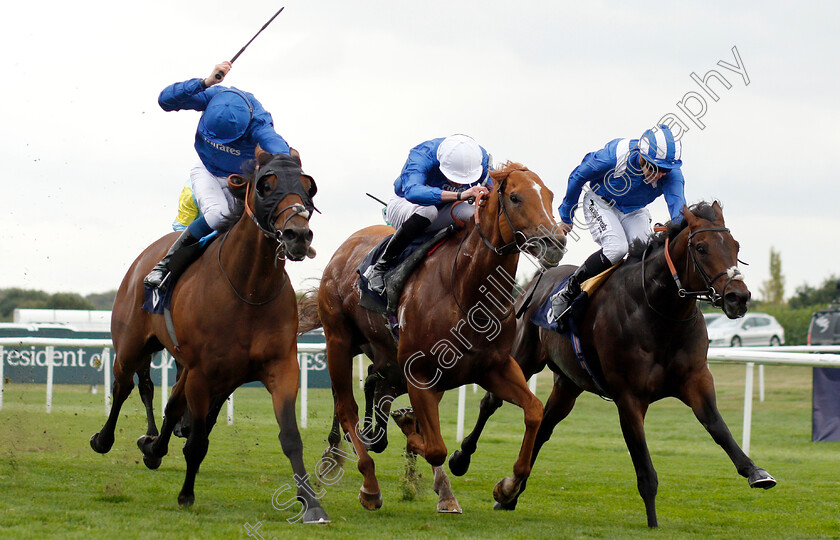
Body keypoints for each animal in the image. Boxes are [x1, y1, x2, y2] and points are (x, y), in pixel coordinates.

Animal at [90, 150, 330, 520]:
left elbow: (290, 436)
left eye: (308, 187)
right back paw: (106, 439)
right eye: (266, 185)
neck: (249, 289)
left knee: (172, 404)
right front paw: (186, 494)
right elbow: (197, 442)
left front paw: (311, 504)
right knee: (124, 386)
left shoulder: (279, 367)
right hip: (132, 345)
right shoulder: (203, 373)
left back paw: (153, 447)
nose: (297, 235)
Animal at [298, 163, 568, 516]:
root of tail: (344, 249)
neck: (466, 291)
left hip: (385, 355)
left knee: (374, 385)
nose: (556, 242)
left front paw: (507, 487)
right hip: (339, 341)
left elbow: (534, 411)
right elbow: (434, 446)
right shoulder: (420, 372)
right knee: (346, 408)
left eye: (549, 195)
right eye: (515, 197)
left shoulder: (494, 366)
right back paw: (369, 483)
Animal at [446, 200, 776, 524]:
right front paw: (653, 523)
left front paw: (756, 472)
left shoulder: (696, 379)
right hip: (520, 358)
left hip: (568, 384)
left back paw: (510, 494)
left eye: (735, 246)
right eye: (702, 248)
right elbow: (645, 470)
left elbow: (718, 427)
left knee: (543, 426)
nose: (738, 297)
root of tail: (535, 283)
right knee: (492, 402)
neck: (659, 312)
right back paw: (462, 459)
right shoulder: (629, 396)